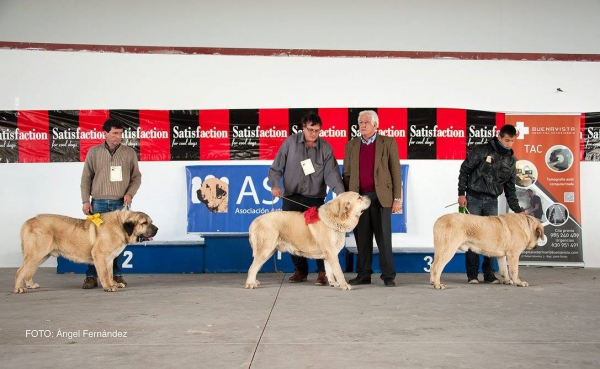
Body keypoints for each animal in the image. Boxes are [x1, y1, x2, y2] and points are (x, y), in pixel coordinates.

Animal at [15, 210, 158, 294]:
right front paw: (108, 287)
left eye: (151, 222)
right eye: (144, 223)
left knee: (28, 272)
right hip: (36, 253)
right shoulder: (100, 256)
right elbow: (104, 274)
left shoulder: (109, 258)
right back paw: (19, 288)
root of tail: (28, 222)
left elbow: (110, 273)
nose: (156, 228)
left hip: (42, 255)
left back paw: (31, 285)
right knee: (20, 271)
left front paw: (114, 284)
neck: (120, 226)